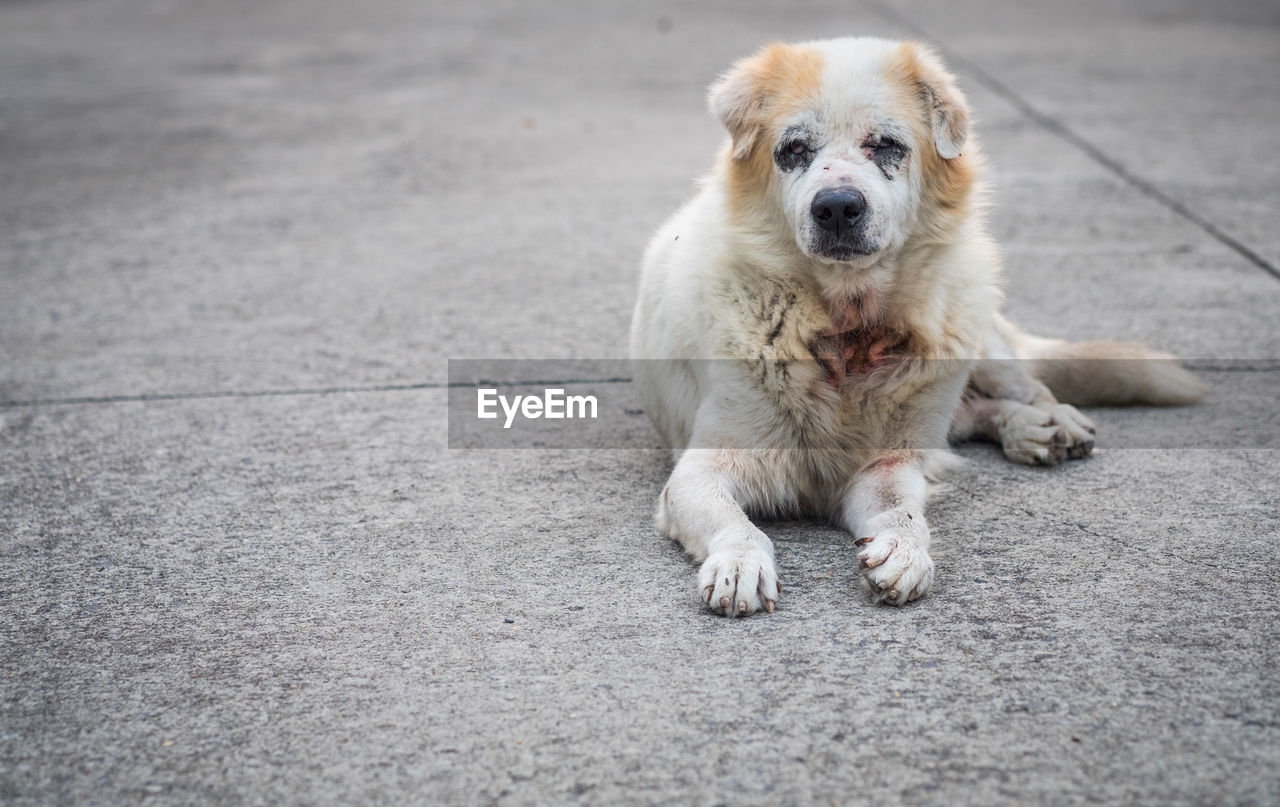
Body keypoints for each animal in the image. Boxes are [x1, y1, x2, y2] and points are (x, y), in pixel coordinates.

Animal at [624, 36, 1203, 619]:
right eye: (794, 150)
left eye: (885, 145)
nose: (837, 207)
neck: (847, 327)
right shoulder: (702, 469)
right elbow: (737, 524)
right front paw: (740, 563)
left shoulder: (887, 463)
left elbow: (902, 510)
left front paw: (905, 552)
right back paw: (1026, 430)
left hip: (976, 326)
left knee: (1017, 387)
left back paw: (1049, 420)